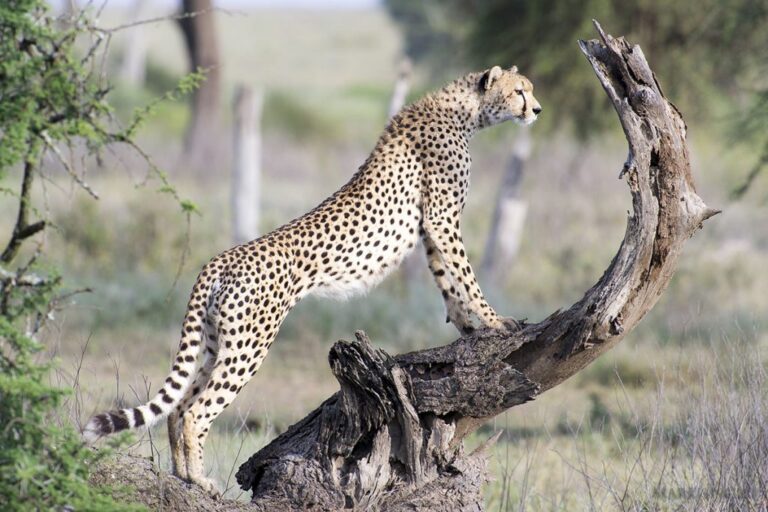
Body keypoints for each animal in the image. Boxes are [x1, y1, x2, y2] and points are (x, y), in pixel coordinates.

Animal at [83, 65, 542, 495]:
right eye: (520, 91)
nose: (537, 110)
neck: (463, 108)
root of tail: (219, 260)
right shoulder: (442, 218)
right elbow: (466, 276)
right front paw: (497, 321)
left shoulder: (431, 229)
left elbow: (448, 283)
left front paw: (469, 329)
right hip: (249, 346)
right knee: (197, 410)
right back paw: (199, 479)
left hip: (216, 343)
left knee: (179, 407)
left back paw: (182, 474)